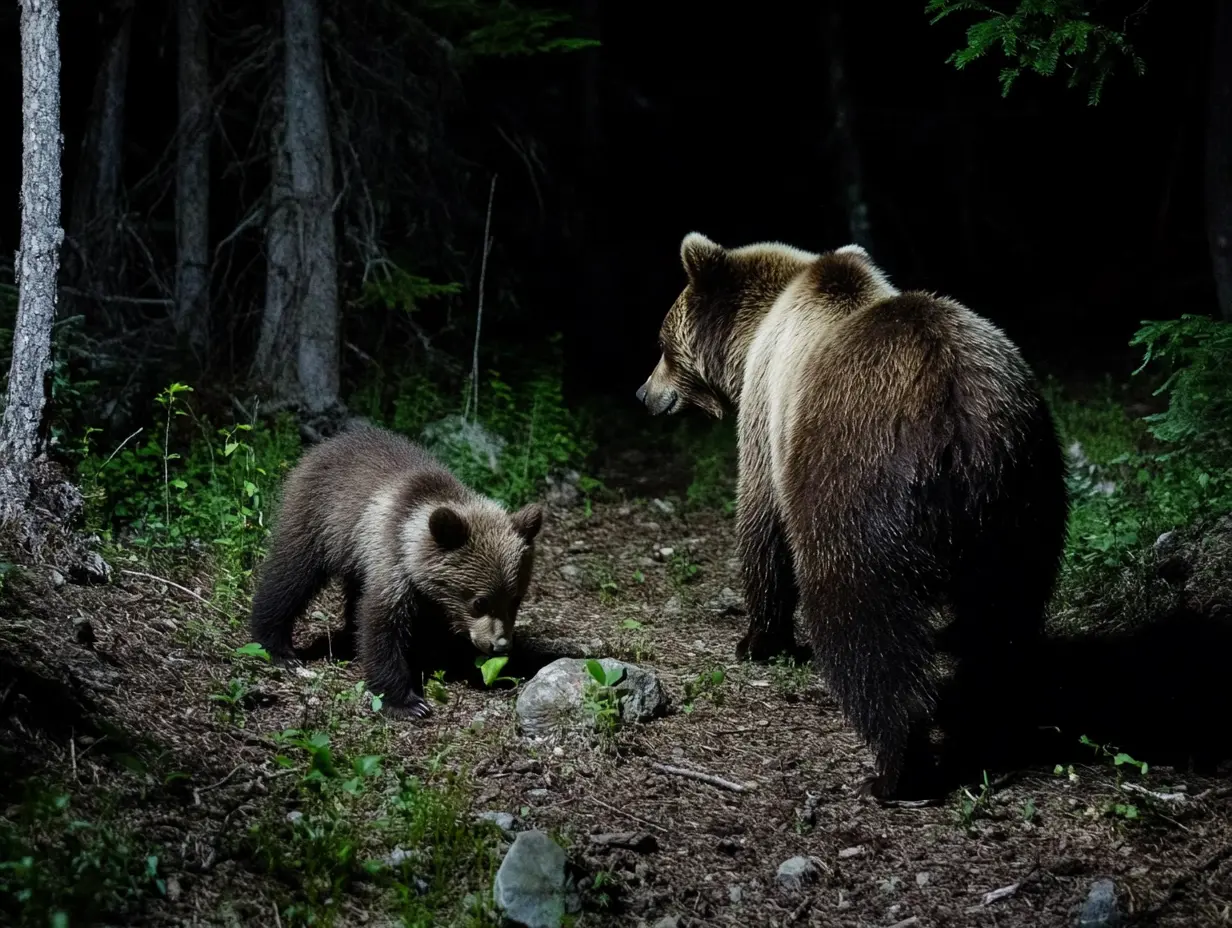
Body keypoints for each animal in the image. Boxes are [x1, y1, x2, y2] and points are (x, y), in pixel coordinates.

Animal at [249, 422, 544, 719]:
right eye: (480, 601)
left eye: (515, 599)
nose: (500, 645)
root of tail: (328, 442)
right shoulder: (392, 563)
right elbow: (382, 626)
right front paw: (407, 702)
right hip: (319, 521)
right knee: (290, 577)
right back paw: (278, 647)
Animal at [635, 232, 1069, 798]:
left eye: (662, 343)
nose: (644, 393)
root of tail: (957, 412)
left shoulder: (769, 413)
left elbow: (762, 522)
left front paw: (757, 640)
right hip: (1023, 485)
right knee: (1006, 612)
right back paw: (993, 719)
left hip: (858, 476)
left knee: (863, 615)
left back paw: (893, 767)